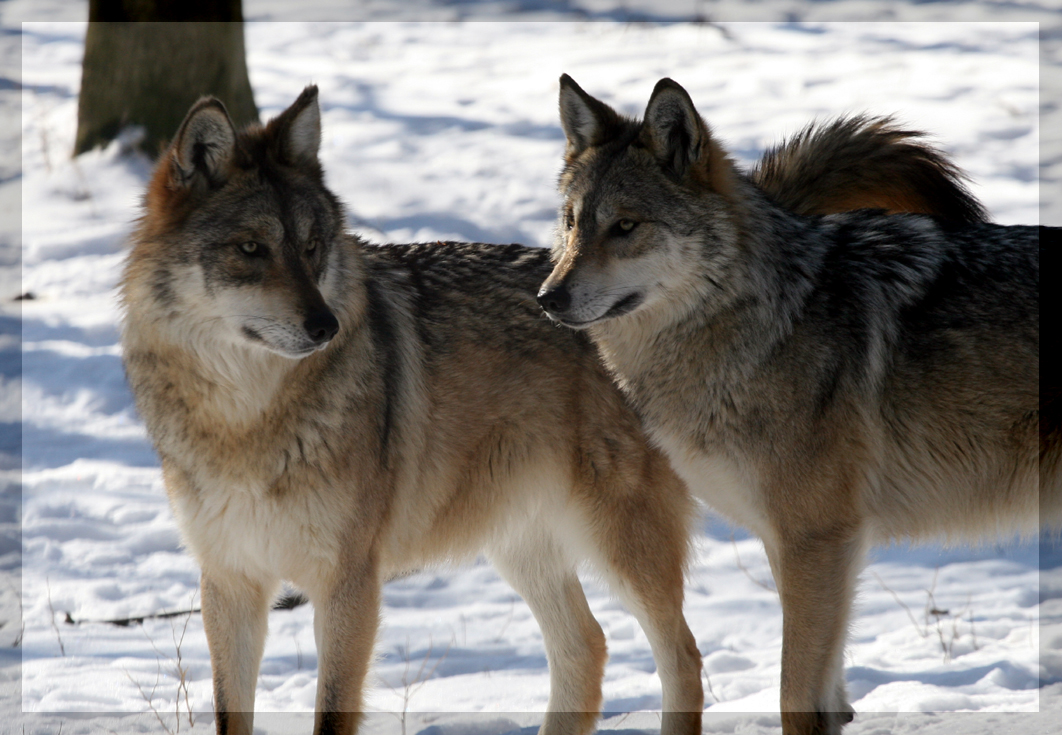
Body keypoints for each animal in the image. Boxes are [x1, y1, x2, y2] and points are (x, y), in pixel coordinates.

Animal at [539, 75, 1053, 734]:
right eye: (572, 222)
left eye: (626, 226)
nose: (547, 297)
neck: (767, 321)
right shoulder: (794, 544)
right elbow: (826, 698)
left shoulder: (818, 539)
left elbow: (795, 697)